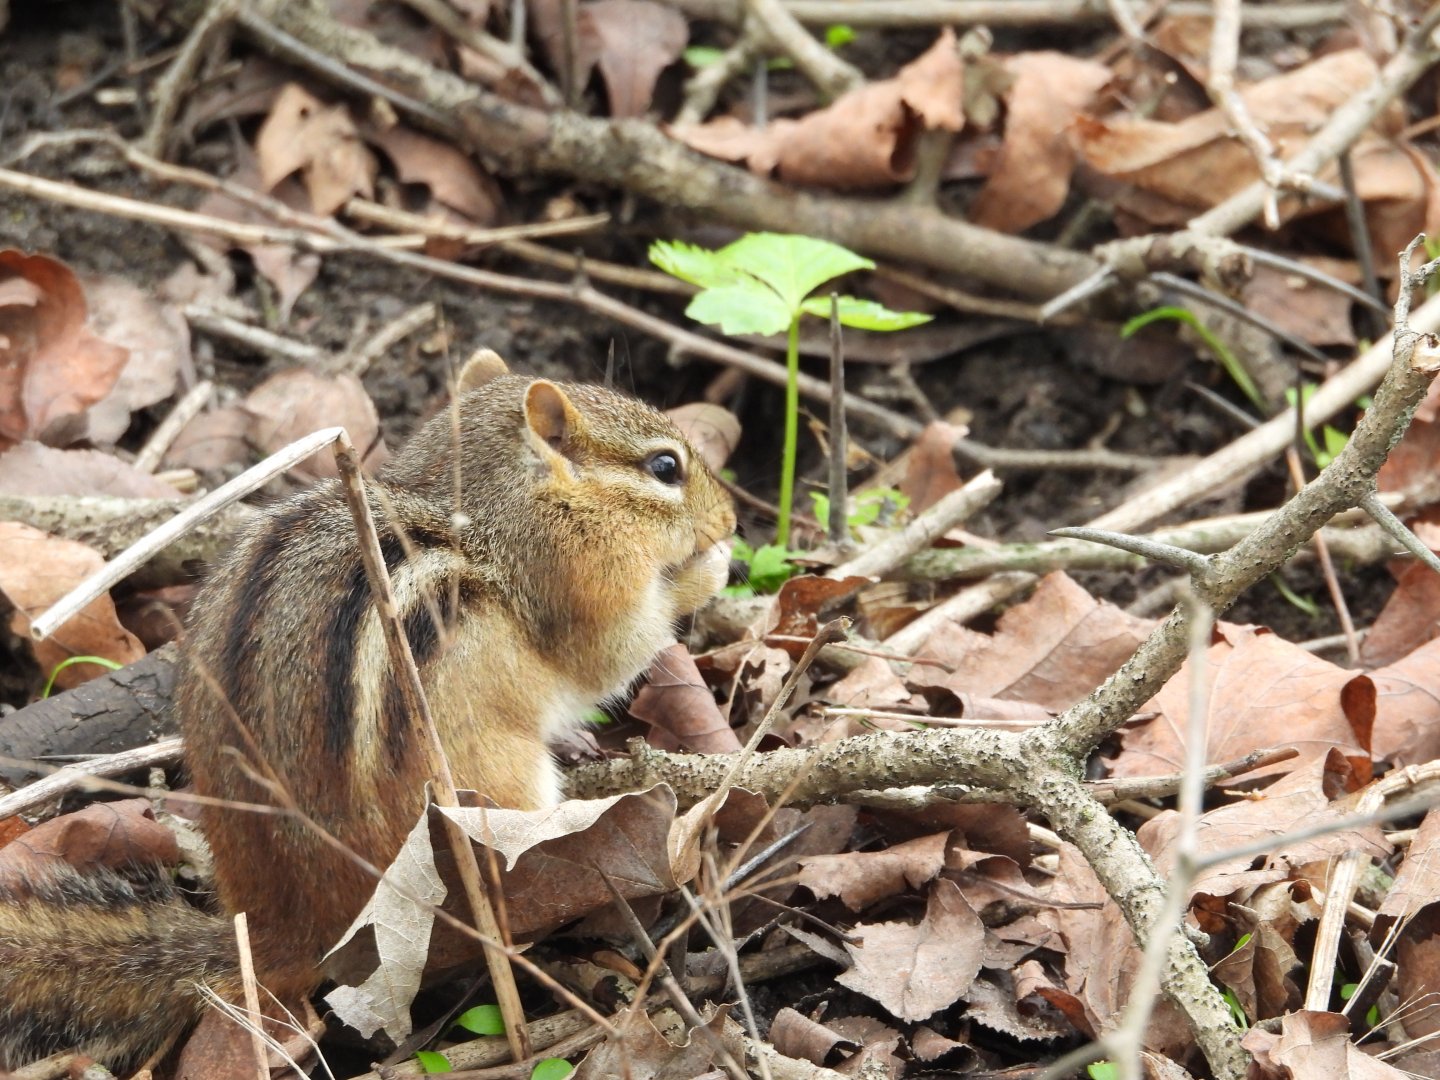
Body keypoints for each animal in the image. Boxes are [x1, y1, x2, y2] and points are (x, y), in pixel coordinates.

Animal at [0, 354, 737, 1071]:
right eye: (665, 467)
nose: (732, 519)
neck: (486, 506)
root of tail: (288, 931)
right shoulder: (580, 583)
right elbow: (613, 653)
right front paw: (712, 569)